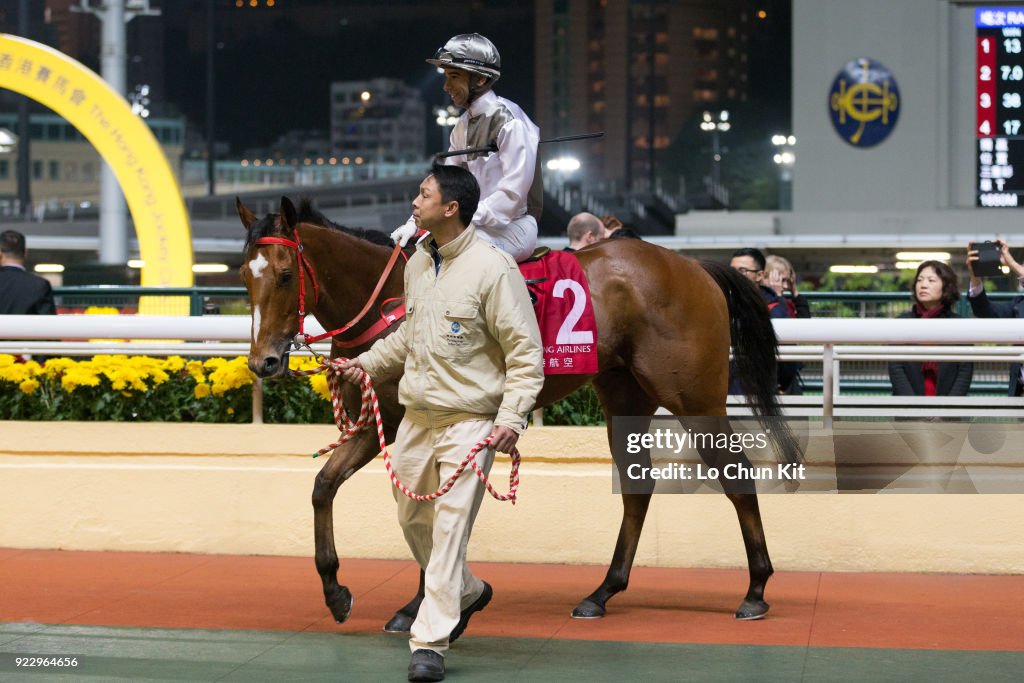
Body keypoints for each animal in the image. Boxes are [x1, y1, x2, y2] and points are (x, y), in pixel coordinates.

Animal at [237, 194, 798, 626]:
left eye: (284, 275)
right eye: (245, 276)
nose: (264, 361)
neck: (391, 302)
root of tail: (695, 266)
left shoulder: (396, 423)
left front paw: (420, 602)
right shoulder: (384, 426)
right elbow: (325, 486)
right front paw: (339, 592)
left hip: (694, 398)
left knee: (736, 474)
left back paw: (756, 590)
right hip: (624, 396)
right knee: (637, 488)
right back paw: (602, 592)